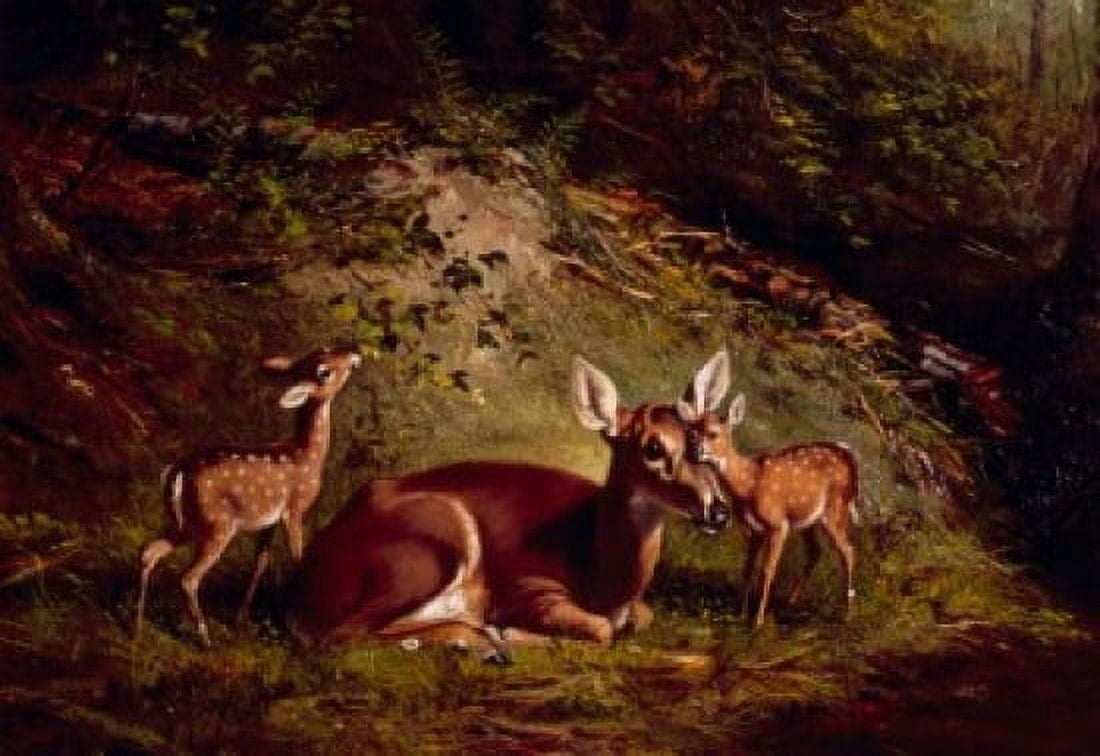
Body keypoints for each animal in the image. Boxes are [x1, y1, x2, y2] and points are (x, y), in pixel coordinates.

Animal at [135, 345, 362, 646]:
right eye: (324, 371)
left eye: (323, 349)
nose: (354, 355)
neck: (307, 456)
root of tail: (176, 472)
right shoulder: (294, 508)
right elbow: (297, 556)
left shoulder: (270, 519)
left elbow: (261, 562)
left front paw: (240, 619)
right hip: (219, 524)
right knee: (188, 578)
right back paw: (205, 638)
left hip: (186, 523)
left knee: (149, 552)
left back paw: (136, 628)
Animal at [284, 356, 726, 662]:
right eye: (653, 448)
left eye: (702, 441)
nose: (718, 510)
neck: (602, 572)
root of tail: (303, 585)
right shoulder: (527, 586)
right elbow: (601, 630)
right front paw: (512, 633)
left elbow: (642, 617)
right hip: (432, 546)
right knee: (338, 636)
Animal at [677, 350, 858, 629]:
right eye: (691, 432)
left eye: (714, 434)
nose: (692, 453)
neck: (749, 483)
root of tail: (850, 457)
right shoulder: (755, 529)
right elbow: (748, 568)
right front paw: (740, 613)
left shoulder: (777, 524)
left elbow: (767, 570)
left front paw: (757, 622)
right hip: (808, 519)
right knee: (815, 551)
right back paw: (791, 602)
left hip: (835, 509)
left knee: (848, 551)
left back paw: (846, 615)